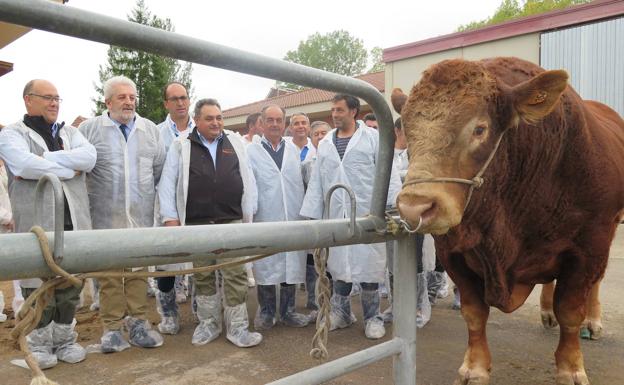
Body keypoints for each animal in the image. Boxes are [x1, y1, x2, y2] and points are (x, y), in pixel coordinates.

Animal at [392, 57, 624, 384]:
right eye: (408, 130)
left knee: (595, 285)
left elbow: (570, 311)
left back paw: (592, 320)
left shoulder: (588, 249)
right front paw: (474, 367)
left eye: (480, 128)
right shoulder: (452, 252)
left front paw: (571, 367)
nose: (415, 207)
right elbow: (474, 312)